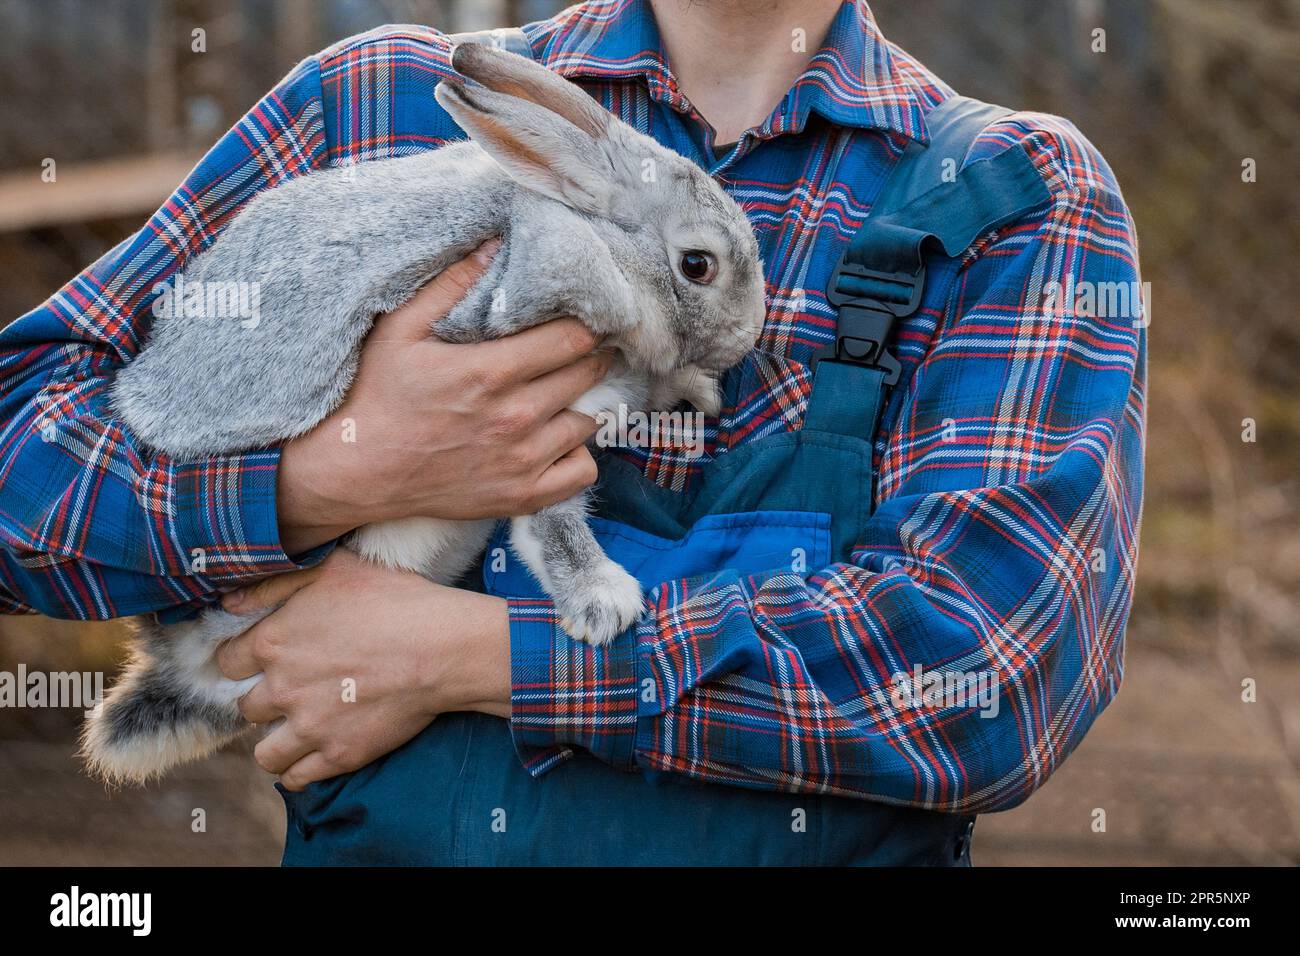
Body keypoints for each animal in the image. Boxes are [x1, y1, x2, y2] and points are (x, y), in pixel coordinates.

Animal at [81, 39, 764, 785]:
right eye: (697, 264)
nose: (746, 337)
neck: (602, 243)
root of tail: (179, 666)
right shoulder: (529, 383)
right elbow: (551, 525)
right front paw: (602, 605)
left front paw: (695, 391)